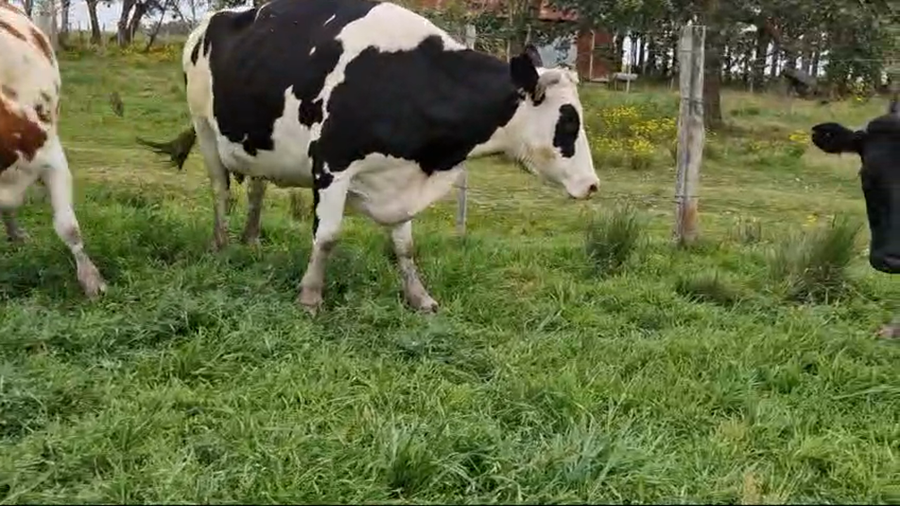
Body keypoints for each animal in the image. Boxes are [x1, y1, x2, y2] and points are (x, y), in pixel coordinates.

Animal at [141, 0, 600, 315]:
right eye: (568, 121)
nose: (593, 184)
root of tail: (208, 21)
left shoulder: (399, 176)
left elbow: (405, 246)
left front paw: (419, 297)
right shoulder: (332, 163)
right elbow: (327, 236)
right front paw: (310, 296)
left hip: (260, 140)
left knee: (255, 187)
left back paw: (251, 241)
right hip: (205, 128)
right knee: (220, 189)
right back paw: (220, 245)